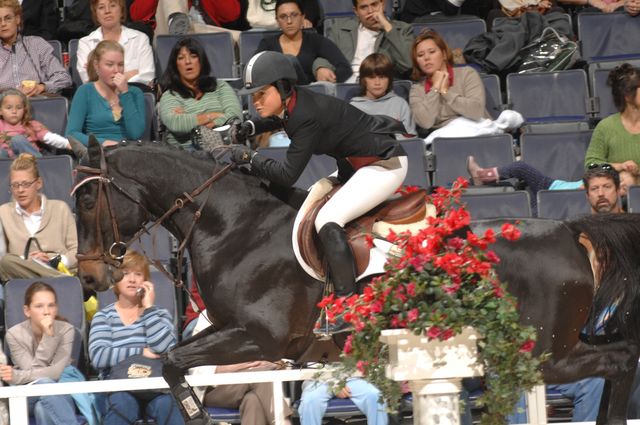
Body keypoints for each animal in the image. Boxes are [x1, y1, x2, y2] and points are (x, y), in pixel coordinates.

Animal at [76, 138, 640, 420]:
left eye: (86, 201)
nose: (88, 277)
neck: (233, 225)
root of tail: (571, 229)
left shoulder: (260, 336)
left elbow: (172, 365)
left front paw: (195, 413)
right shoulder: (229, 330)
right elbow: (173, 361)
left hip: (543, 351)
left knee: (619, 359)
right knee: (620, 357)